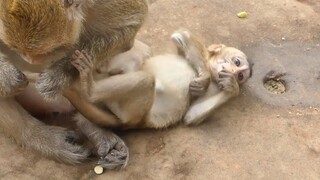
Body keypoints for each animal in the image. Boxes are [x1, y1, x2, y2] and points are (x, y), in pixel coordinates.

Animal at [0, 0, 148, 168]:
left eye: (47, 52)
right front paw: (7, 76)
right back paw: (45, 139)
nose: (30, 61)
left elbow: (131, 24)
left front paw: (60, 74)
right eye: (17, 49)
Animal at [69, 29, 251, 130]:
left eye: (240, 76)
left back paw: (90, 90)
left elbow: (191, 116)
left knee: (145, 78)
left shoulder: (216, 87)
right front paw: (204, 78)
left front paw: (232, 87)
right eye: (236, 62)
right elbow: (182, 36)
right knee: (143, 60)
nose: (234, 72)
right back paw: (92, 87)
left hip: (130, 112)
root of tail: (132, 123)